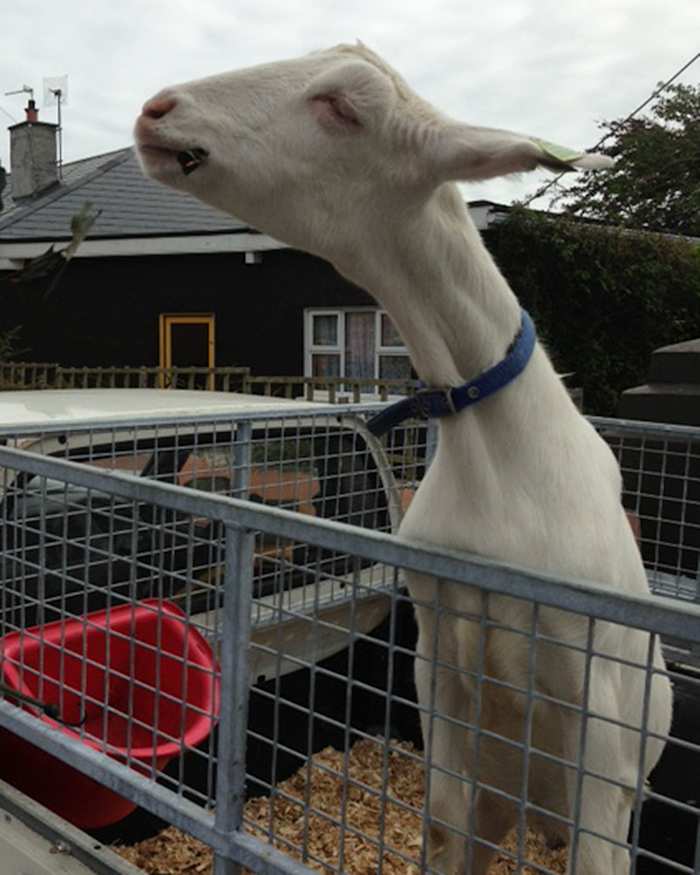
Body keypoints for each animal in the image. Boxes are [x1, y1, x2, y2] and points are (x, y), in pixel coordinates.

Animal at [135, 43, 672, 874]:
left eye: (343, 107)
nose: (158, 111)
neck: (497, 452)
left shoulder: (602, 729)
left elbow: (595, 846)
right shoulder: (437, 666)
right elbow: (444, 824)